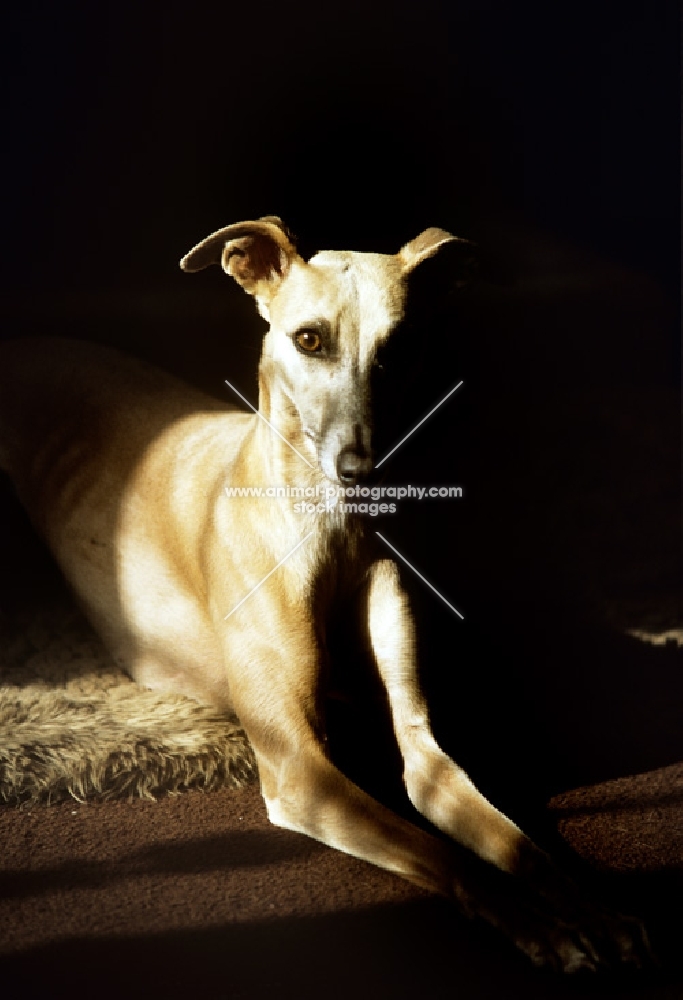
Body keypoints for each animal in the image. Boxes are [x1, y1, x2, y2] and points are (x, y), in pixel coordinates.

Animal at [0, 217, 648, 968]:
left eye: (399, 346)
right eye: (308, 339)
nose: (360, 468)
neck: (329, 533)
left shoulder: (423, 748)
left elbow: (516, 844)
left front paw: (593, 909)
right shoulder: (298, 769)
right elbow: (445, 857)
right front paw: (543, 927)